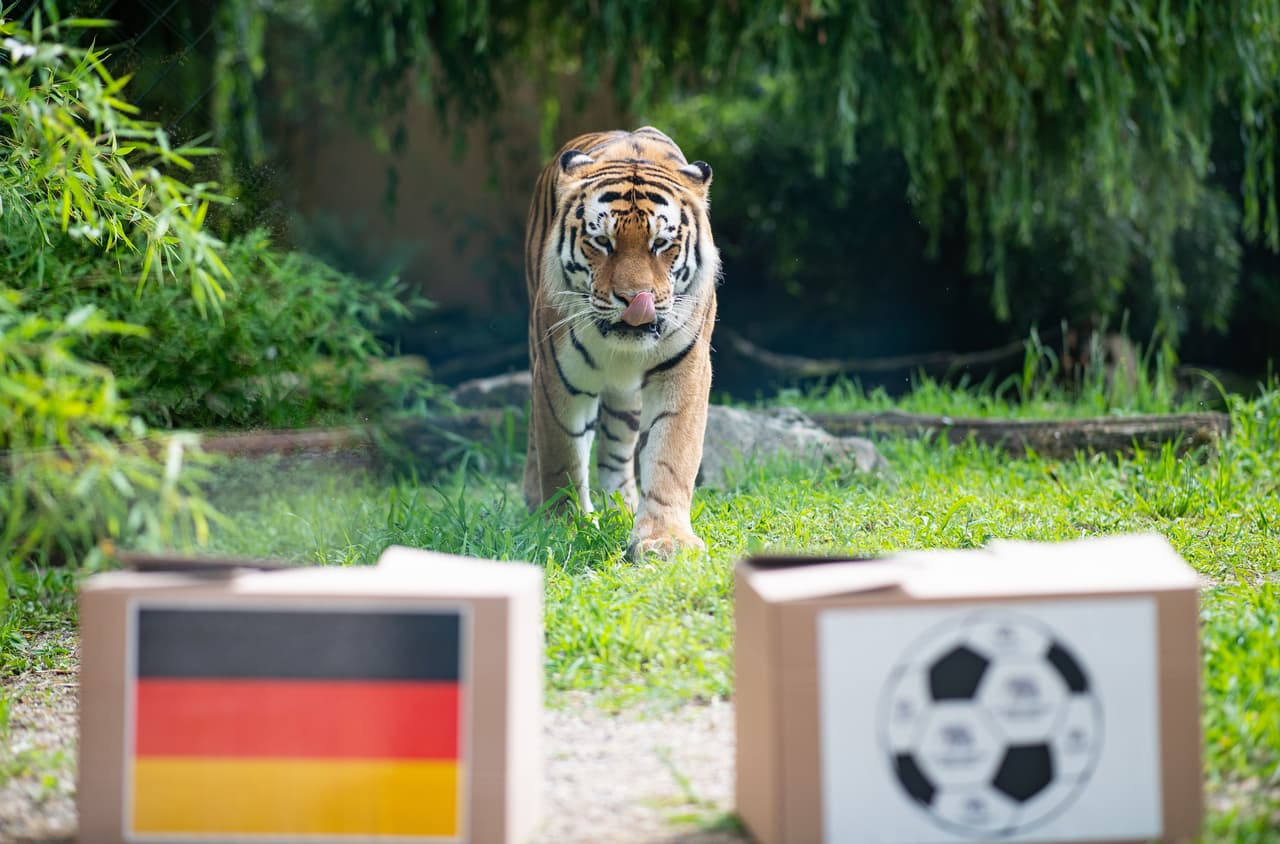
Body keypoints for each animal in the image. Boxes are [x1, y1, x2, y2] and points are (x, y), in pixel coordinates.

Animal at [523, 126, 719, 560]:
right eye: (601, 241)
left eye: (661, 243)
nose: (634, 300)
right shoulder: (556, 373)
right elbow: (561, 457)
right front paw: (564, 528)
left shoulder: (685, 369)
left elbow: (670, 455)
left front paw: (663, 539)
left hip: (628, 401)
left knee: (616, 451)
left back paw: (621, 508)